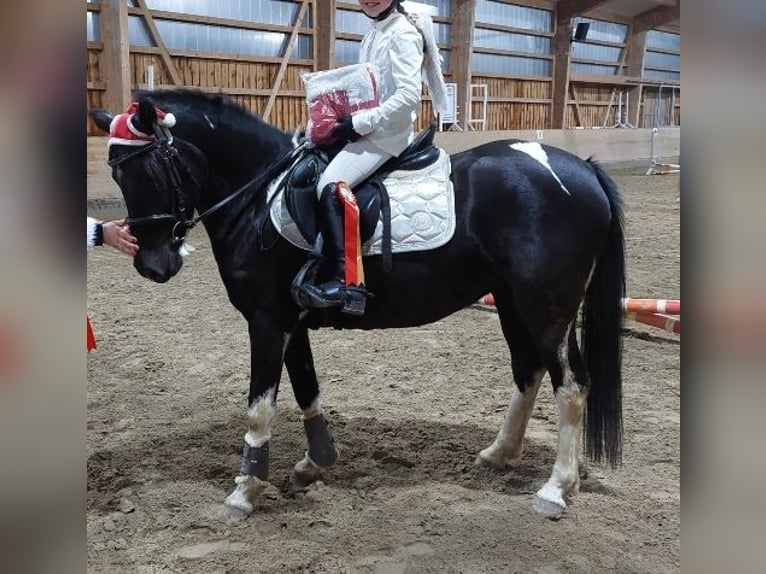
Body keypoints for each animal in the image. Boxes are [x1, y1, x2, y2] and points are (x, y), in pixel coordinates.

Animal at [93, 91, 628, 520]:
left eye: (151, 168)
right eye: (116, 173)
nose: (153, 265)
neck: (258, 198)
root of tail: (583, 168)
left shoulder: (266, 321)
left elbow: (259, 409)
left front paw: (244, 493)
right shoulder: (291, 322)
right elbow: (306, 389)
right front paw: (315, 464)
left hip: (548, 307)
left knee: (571, 385)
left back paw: (555, 489)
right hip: (514, 303)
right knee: (528, 370)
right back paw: (498, 454)